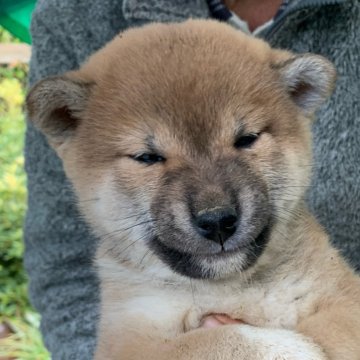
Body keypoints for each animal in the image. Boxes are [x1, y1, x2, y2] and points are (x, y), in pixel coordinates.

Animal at [26, 21, 358, 360]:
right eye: (148, 157)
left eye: (246, 139)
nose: (217, 221)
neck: (228, 288)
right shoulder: (128, 340)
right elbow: (216, 340)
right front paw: (290, 348)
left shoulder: (343, 297)